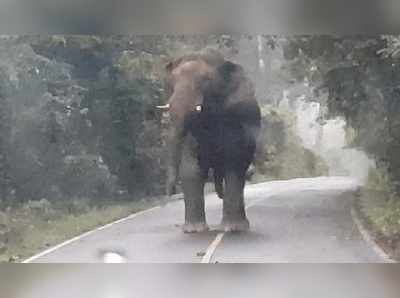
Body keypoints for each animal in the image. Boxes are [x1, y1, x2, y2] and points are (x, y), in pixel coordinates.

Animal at [158, 49, 260, 233]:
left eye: (206, 81)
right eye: (172, 81)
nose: (170, 194)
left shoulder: (235, 118)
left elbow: (233, 161)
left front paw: (232, 228)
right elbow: (191, 168)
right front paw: (193, 230)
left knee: (239, 170)